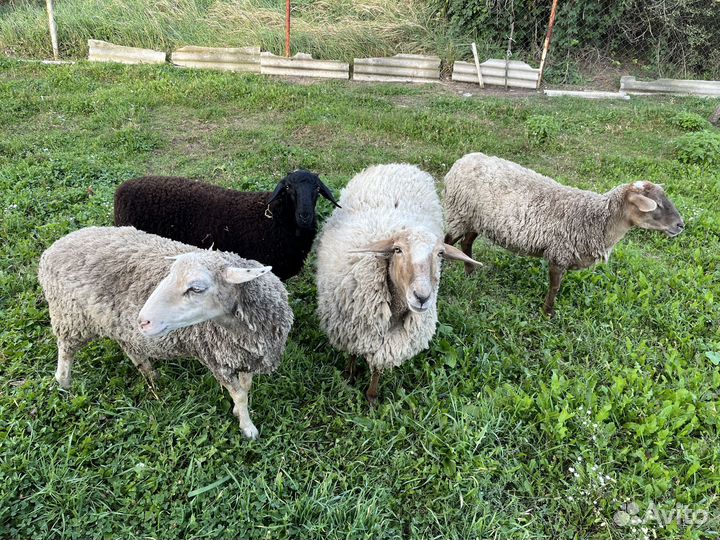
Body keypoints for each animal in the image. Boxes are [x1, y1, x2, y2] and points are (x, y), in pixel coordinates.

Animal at [38, 226, 293, 439]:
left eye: (196, 288)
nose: (143, 321)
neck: (242, 331)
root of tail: (53, 247)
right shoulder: (215, 359)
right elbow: (240, 394)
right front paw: (247, 428)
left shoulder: (245, 356)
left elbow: (245, 388)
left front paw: (239, 413)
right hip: (71, 317)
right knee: (66, 351)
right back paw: (64, 382)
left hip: (116, 326)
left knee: (131, 349)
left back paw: (151, 374)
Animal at [316, 164, 481, 403]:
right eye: (397, 250)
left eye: (440, 253)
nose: (422, 297)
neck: (393, 311)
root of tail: (399, 165)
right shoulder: (353, 327)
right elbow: (353, 353)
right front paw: (349, 375)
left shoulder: (389, 342)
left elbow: (377, 367)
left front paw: (372, 397)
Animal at [443, 152, 685, 316]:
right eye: (655, 205)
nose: (680, 225)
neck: (595, 219)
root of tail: (463, 160)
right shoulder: (559, 253)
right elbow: (555, 286)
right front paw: (547, 313)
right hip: (459, 213)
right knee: (448, 241)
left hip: (476, 220)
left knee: (466, 243)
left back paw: (471, 272)